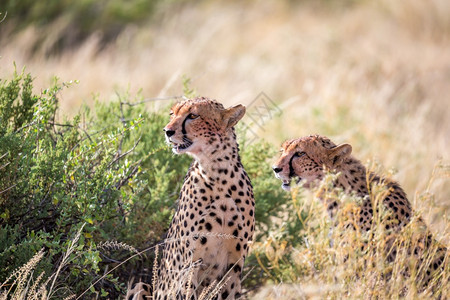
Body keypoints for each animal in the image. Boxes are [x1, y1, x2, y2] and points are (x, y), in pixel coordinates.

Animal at [126, 97, 255, 298]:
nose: (167, 131)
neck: (218, 172)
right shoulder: (189, 263)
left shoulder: (234, 264)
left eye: (193, 116)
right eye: (172, 114)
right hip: (141, 285)